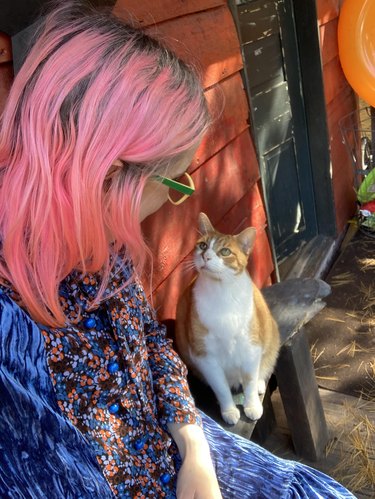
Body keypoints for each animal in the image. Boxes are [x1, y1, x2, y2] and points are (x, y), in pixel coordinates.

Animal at [176, 214, 280, 426]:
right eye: (202, 245)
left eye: (225, 251)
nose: (206, 256)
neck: (222, 292)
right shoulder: (206, 358)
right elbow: (221, 389)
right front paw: (229, 411)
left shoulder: (251, 348)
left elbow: (249, 382)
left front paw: (252, 406)